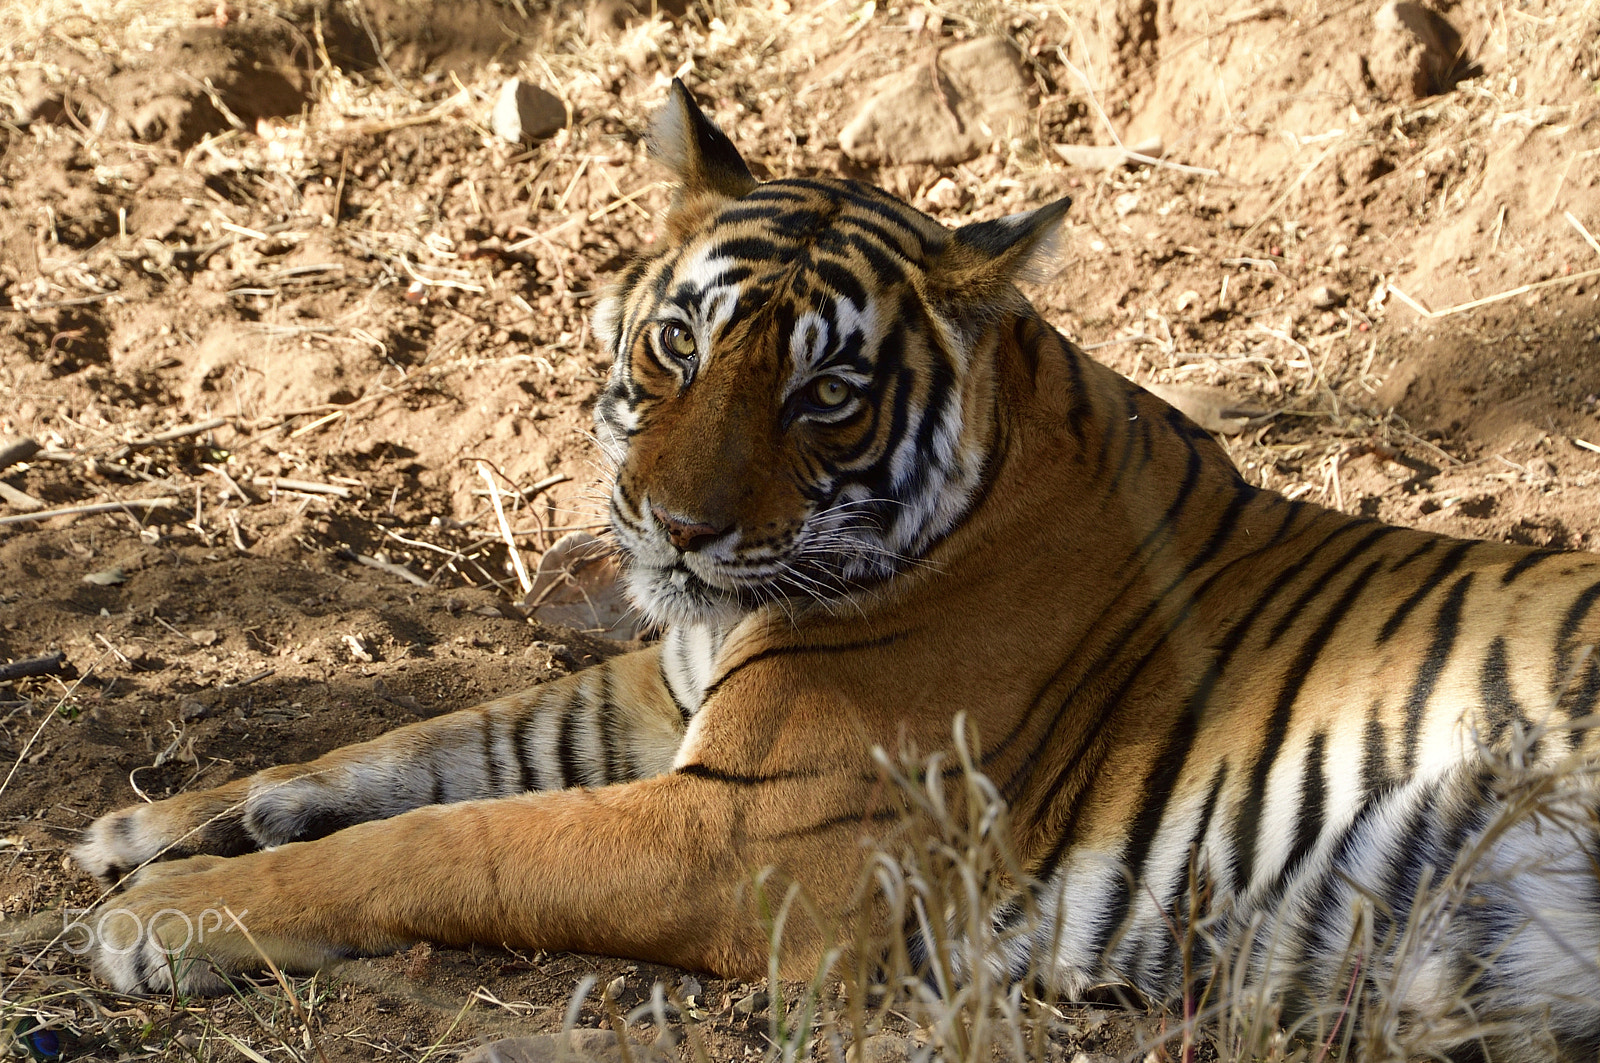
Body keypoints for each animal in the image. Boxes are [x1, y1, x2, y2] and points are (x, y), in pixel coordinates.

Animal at [72, 79, 1600, 1058]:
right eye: (679, 343)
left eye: (825, 396)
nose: (672, 525)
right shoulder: (659, 695)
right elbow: (432, 741)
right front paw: (158, 826)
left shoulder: (738, 834)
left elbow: (455, 838)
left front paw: (164, 914)